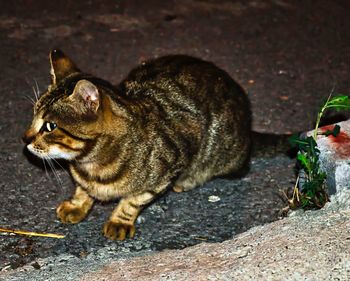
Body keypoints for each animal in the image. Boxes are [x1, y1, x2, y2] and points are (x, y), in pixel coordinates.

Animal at [22, 49, 252, 240]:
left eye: (50, 126)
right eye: (33, 115)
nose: (24, 138)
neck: (90, 164)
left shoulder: (166, 172)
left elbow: (133, 201)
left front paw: (119, 221)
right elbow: (82, 189)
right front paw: (77, 204)